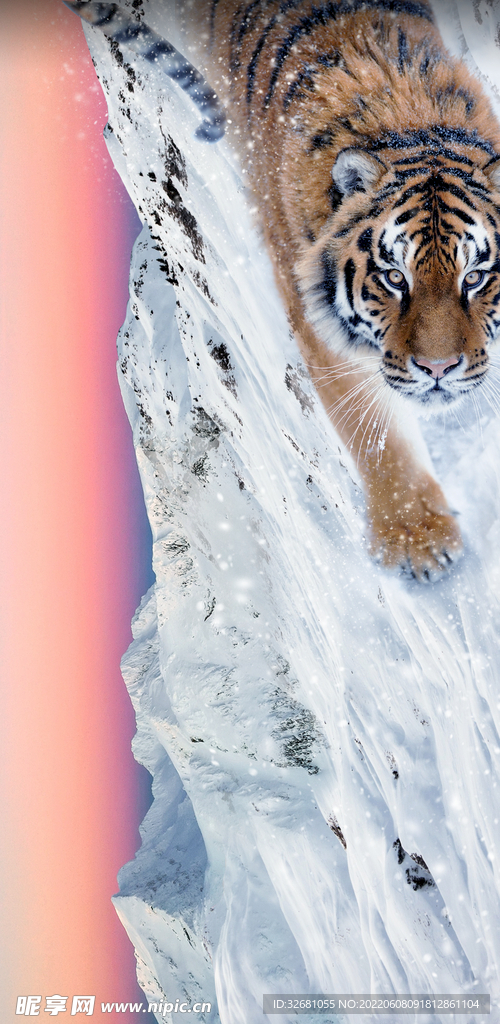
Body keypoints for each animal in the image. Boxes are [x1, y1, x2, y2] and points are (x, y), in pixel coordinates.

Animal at [66, 0, 500, 581]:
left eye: (473, 276)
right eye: (394, 277)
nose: (438, 369)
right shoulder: (326, 336)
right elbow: (380, 441)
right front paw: (420, 542)